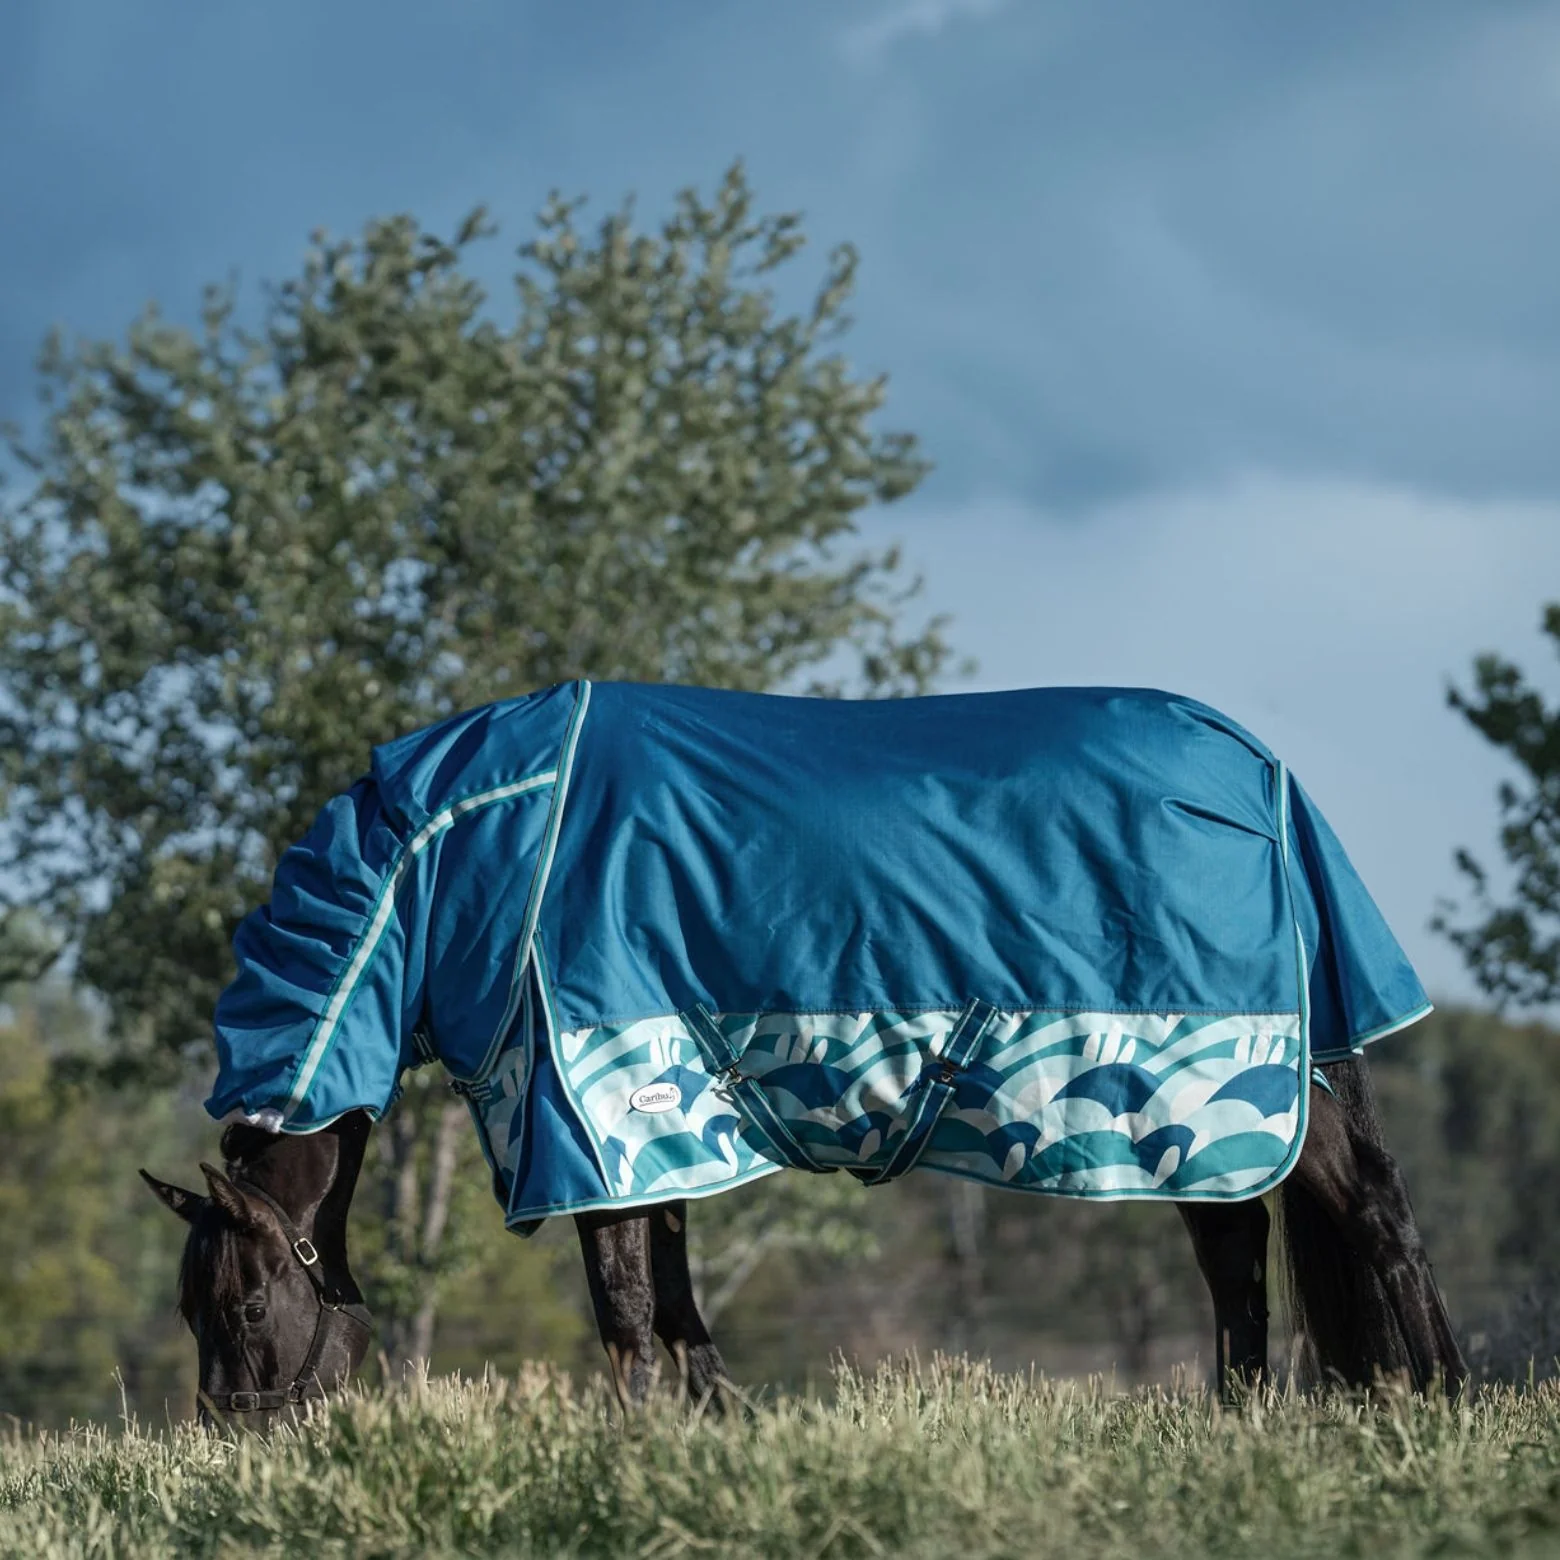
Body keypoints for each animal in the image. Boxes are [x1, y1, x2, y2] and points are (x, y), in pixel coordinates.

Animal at [140, 681, 1468, 1421]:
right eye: (191, 1307)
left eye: (245, 1301)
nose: (239, 1438)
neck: (475, 848)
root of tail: (1258, 768)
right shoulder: (659, 1122)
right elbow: (678, 1306)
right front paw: (713, 1435)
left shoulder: (592, 1115)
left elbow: (626, 1312)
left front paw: (626, 1450)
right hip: (1185, 1116)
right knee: (1238, 1259)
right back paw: (1244, 1420)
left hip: (1238, 1083)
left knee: (1372, 1214)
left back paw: (1443, 1403)